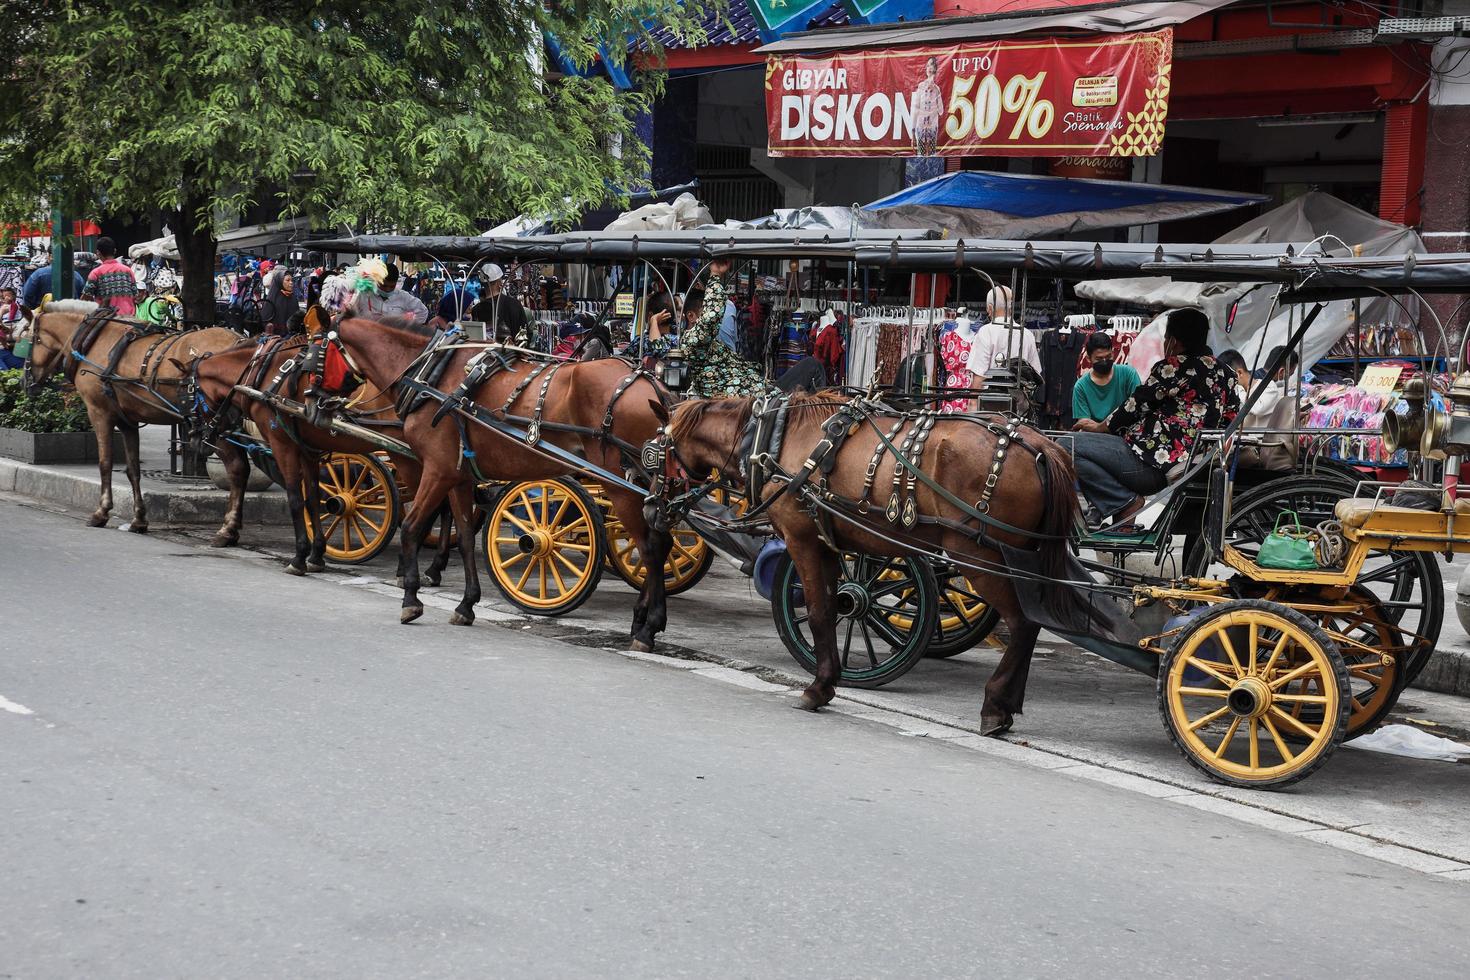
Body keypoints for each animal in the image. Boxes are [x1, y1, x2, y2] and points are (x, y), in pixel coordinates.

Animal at [22, 301, 249, 543]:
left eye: (30, 340)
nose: (24, 382)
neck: (93, 340)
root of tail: (239, 341)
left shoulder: (99, 413)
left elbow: (105, 463)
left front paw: (101, 512)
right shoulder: (127, 421)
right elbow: (133, 470)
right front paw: (139, 518)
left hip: (216, 424)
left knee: (237, 469)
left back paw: (228, 529)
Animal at [318, 318, 673, 646]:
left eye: (318, 351)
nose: (313, 399)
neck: (432, 375)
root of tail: (652, 386)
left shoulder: (436, 470)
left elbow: (411, 527)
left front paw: (411, 598)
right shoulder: (459, 477)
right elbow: (463, 537)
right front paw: (466, 604)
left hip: (622, 484)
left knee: (651, 548)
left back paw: (648, 625)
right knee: (662, 542)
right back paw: (641, 619)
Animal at [655, 393, 1081, 734]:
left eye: (657, 450)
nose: (652, 508)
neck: (774, 438)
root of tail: (1042, 447)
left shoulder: (802, 540)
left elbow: (820, 610)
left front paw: (819, 687)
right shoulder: (830, 542)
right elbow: (830, 606)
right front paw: (827, 679)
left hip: (979, 555)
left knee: (1023, 622)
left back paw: (995, 705)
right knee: (1032, 622)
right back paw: (1010, 701)